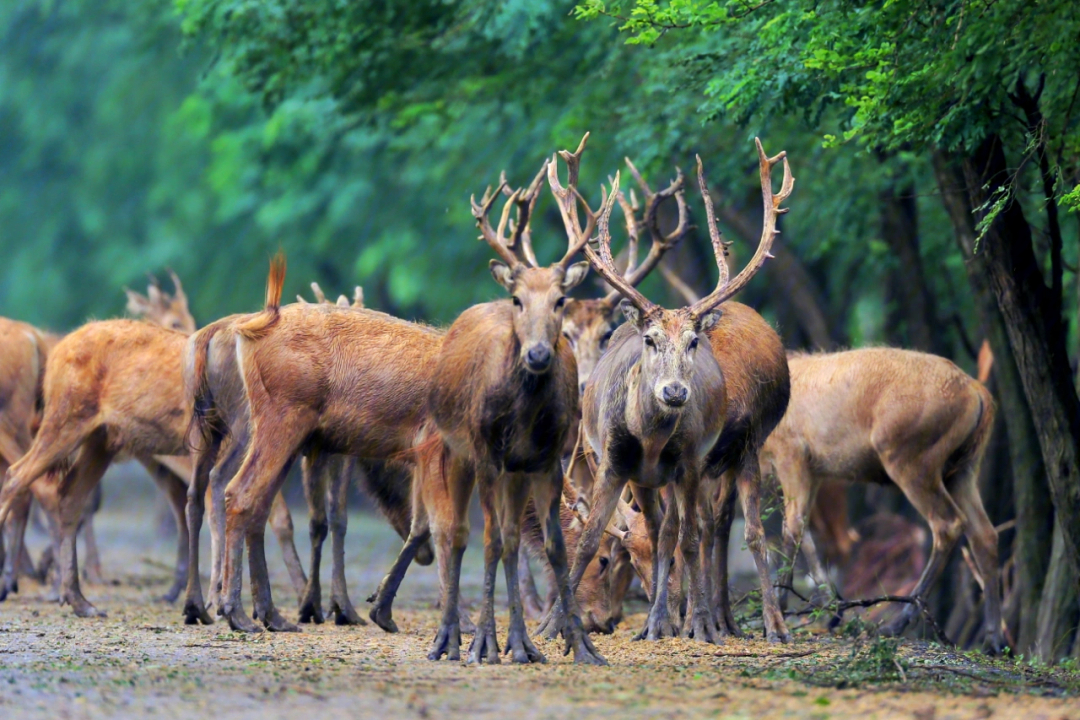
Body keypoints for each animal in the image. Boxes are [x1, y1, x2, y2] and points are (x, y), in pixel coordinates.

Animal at [537, 138, 794, 643]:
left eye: (693, 342)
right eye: (651, 340)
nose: (675, 392)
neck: (653, 438)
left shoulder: (703, 458)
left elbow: (707, 537)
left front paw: (707, 623)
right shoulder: (616, 461)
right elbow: (595, 537)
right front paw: (554, 624)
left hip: (732, 454)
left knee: (715, 528)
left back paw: (724, 619)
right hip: (652, 477)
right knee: (673, 529)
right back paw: (669, 618)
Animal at [760, 349, 1002, 651]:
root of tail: (979, 394)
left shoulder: (791, 453)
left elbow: (791, 529)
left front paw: (784, 610)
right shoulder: (814, 471)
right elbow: (804, 533)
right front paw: (831, 607)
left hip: (909, 457)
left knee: (947, 524)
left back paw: (897, 623)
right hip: (964, 468)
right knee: (985, 533)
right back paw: (994, 639)